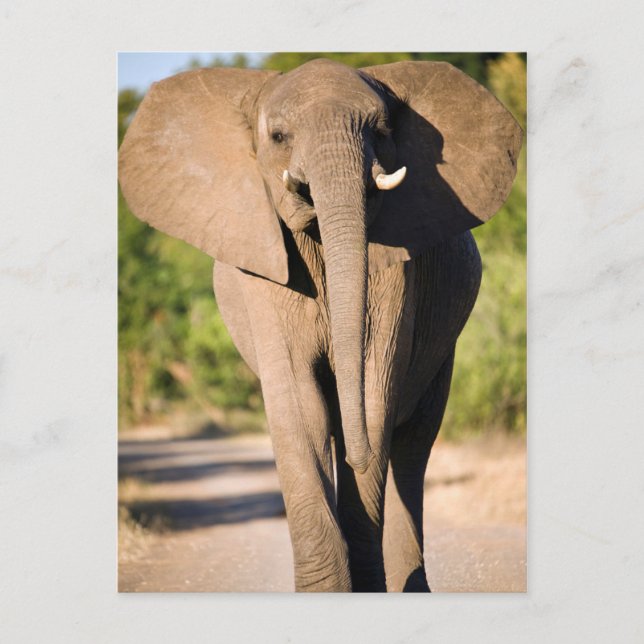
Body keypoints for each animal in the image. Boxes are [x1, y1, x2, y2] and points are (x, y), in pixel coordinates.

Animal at [118, 58, 522, 592]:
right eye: (278, 136)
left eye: (382, 132)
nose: (359, 457)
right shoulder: (266, 274)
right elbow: (298, 404)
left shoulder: (398, 269)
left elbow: (375, 392)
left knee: (412, 446)